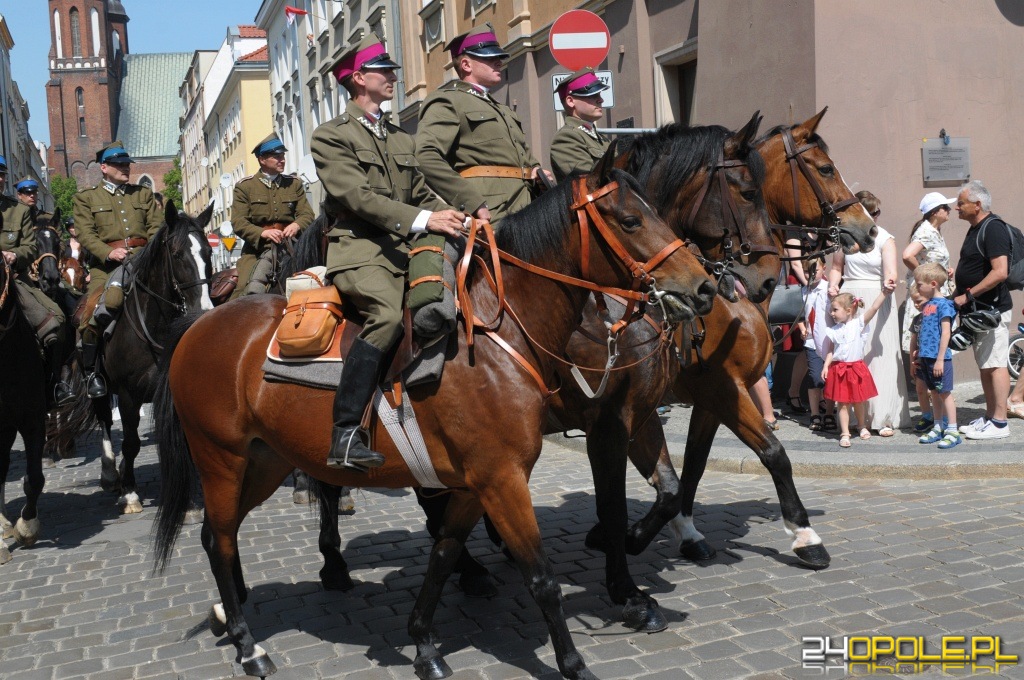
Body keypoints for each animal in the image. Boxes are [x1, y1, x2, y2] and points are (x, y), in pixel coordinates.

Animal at [92, 200, 214, 510]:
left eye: (208, 253)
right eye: (177, 254)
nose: (204, 311)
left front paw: (190, 500)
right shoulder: (127, 394)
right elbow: (131, 442)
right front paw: (130, 493)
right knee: (105, 421)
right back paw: (111, 473)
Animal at [155, 157, 720, 680]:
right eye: (630, 220)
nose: (704, 288)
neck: (498, 335)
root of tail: (200, 324)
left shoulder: (475, 483)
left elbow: (443, 556)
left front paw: (425, 645)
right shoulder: (508, 476)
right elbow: (543, 577)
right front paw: (576, 661)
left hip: (265, 461)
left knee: (221, 535)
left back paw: (232, 617)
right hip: (222, 461)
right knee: (218, 539)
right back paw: (249, 645)